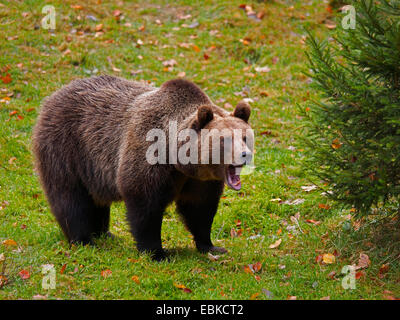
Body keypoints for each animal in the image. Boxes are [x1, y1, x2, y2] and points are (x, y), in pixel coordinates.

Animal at [33, 75, 253, 260]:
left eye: (244, 137)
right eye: (225, 140)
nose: (245, 155)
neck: (178, 160)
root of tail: (55, 94)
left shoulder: (200, 181)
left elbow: (200, 209)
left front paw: (211, 245)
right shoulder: (149, 158)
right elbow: (145, 207)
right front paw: (156, 252)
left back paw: (105, 233)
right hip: (66, 148)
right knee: (70, 197)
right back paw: (84, 240)